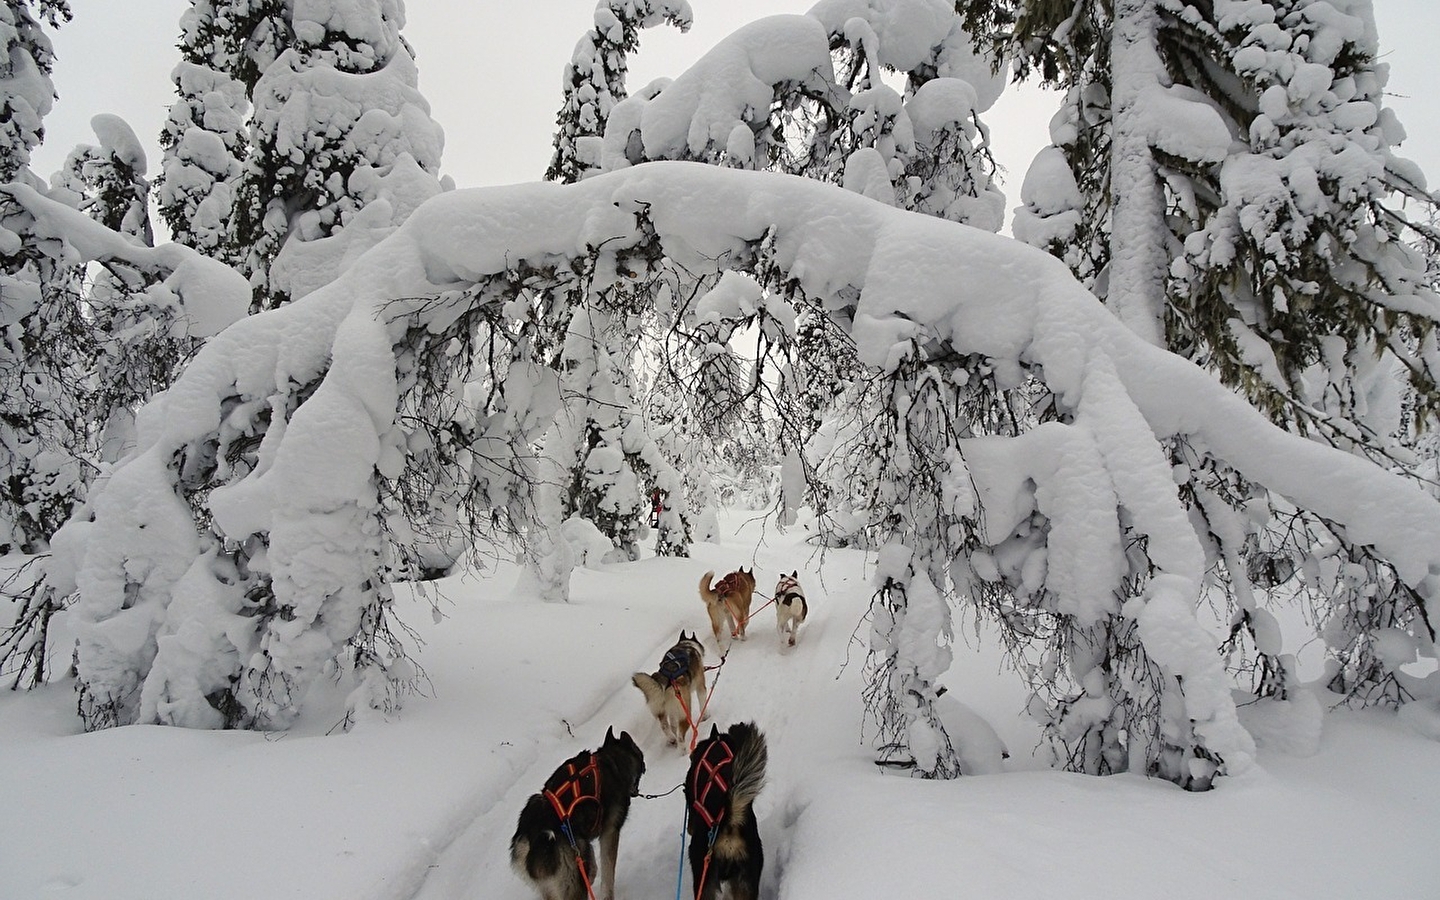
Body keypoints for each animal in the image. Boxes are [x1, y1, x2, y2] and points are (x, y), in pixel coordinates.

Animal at [506, 722, 642, 898]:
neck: (610, 761)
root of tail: (531, 839)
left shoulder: (584, 844)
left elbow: (593, 863)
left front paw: (592, 875)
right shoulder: (610, 831)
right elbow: (607, 874)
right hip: (572, 880)